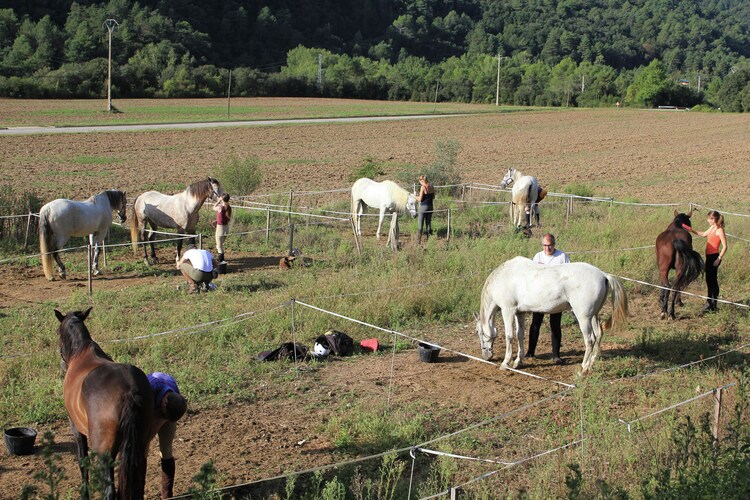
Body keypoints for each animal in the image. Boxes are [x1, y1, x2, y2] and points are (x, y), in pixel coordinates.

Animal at [57, 306, 156, 498]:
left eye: (58, 332)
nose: (62, 363)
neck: (81, 353)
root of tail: (130, 389)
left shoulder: (76, 428)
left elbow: (82, 462)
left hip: (105, 452)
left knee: (109, 491)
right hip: (140, 446)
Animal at [476, 258, 628, 376]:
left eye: (478, 332)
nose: (485, 356)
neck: (503, 277)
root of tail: (603, 275)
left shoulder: (508, 310)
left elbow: (509, 336)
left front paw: (505, 363)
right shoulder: (520, 313)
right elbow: (520, 335)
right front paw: (518, 362)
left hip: (584, 318)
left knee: (590, 339)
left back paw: (583, 369)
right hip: (593, 316)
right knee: (598, 335)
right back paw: (590, 366)